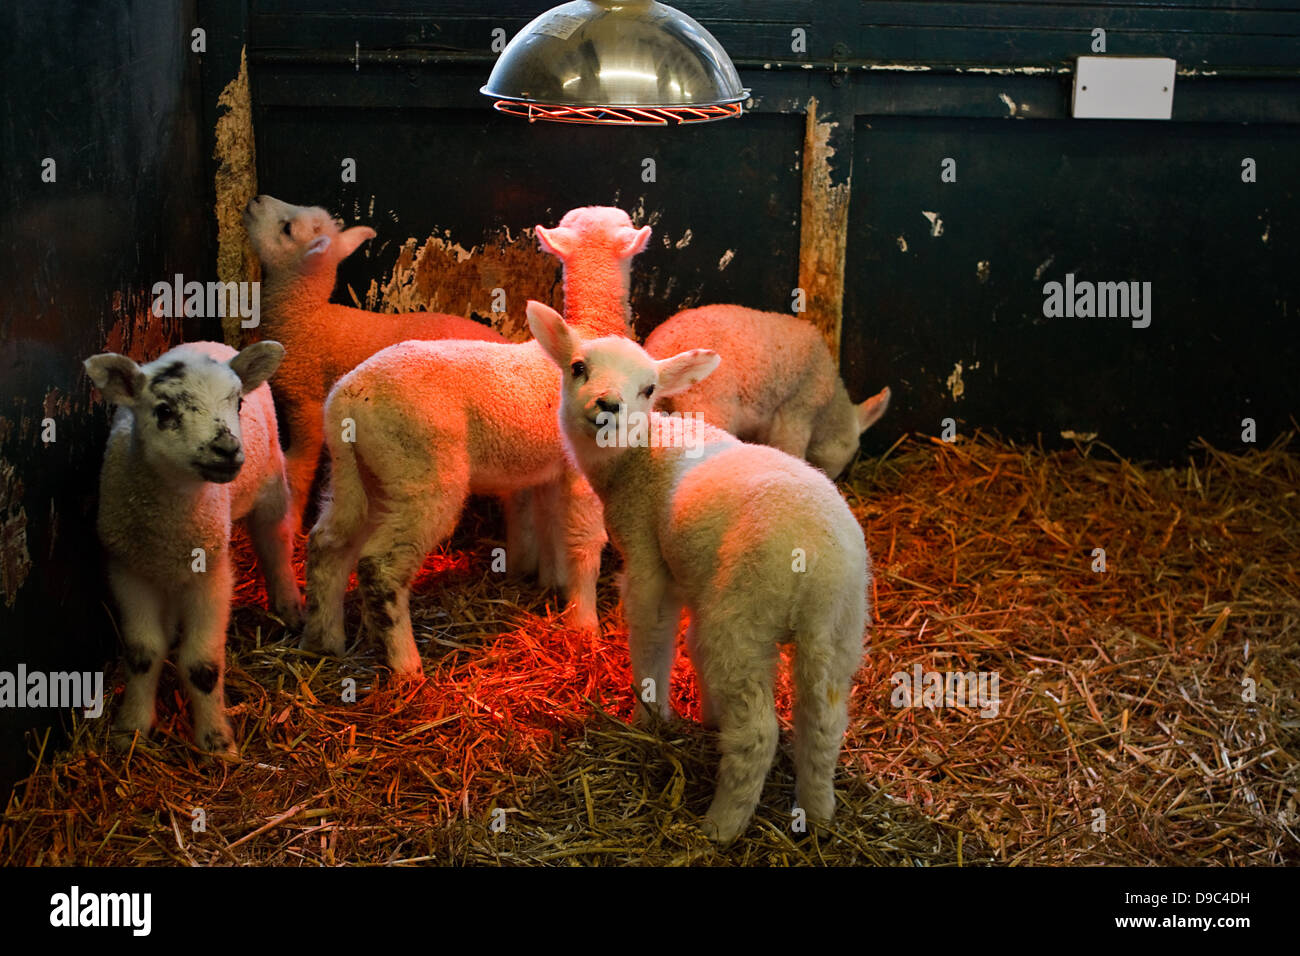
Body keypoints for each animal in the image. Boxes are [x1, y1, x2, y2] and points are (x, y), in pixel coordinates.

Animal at [83, 340, 299, 749]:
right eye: (164, 410)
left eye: (238, 404)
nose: (227, 449)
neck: (172, 521)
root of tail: (209, 343)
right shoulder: (128, 570)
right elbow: (143, 653)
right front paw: (131, 728)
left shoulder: (212, 575)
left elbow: (202, 664)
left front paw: (216, 742)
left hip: (271, 483)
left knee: (275, 540)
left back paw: (289, 604)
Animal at [244, 192, 506, 530]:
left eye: (287, 229)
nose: (255, 199)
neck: (307, 318)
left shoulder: (306, 403)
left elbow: (299, 465)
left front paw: (292, 515)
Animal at [302, 206, 650, 676]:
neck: (590, 326)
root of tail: (347, 397)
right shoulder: (583, 467)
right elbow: (584, 540)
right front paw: (584, 624)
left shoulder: (548, 470)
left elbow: (551, 527)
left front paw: (552, 584)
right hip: (422, 471)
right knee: (380, 566)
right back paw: (406, 665)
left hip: (361, 474)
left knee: (329, 545)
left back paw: (325, 640)